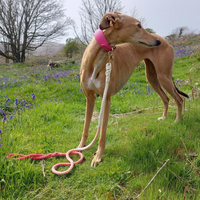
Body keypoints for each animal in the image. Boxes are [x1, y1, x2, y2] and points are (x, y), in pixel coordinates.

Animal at [78, 11, 189, 166]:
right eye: (138, 25)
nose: (157, 42)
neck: (97, 58)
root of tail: (168, 43)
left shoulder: (106, 99)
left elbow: (102, 133)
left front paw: (98, 157)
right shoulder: (90, 97)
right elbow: (85, 127)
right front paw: (80, 148)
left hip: (164, 77)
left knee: (179, 99)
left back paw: (177, 121)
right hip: (152, 78)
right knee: (166, 98)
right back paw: (164, 117)